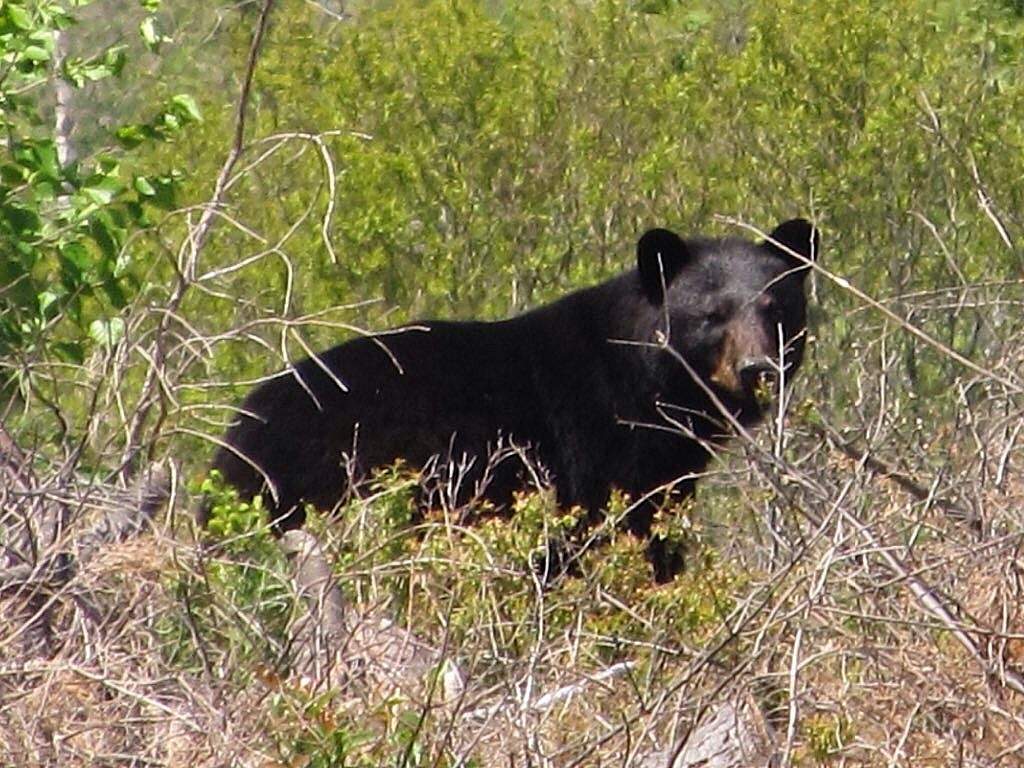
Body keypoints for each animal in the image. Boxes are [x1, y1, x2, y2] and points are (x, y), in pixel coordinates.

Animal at [203, 218, 819, 581]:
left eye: (775, 307)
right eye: (712, 315)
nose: (757, 369)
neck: (646, 384)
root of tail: (230, 446)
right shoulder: (596, 446)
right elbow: (613, 533)